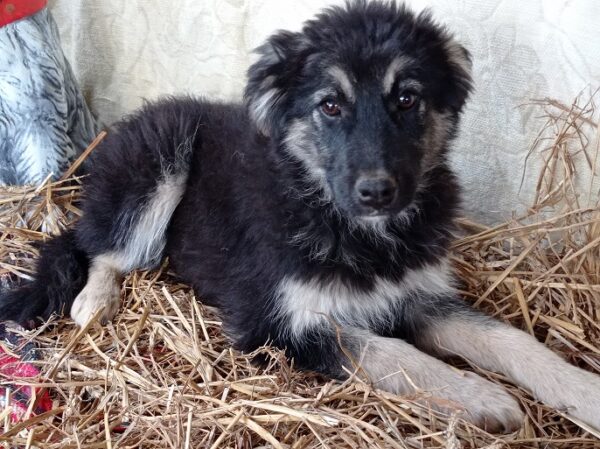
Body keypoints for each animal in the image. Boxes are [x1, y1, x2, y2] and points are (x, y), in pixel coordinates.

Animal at [1, 0, 600, 434]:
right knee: (104, 247)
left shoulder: (417, 294)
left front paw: (581, 391)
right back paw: (94, 302)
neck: (348, 224)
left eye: (407, 99)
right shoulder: (279, 322)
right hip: (156, 163)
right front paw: (481, 397)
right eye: (330, 105)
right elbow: (394, 354)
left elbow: (506, 338)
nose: (377, 192)